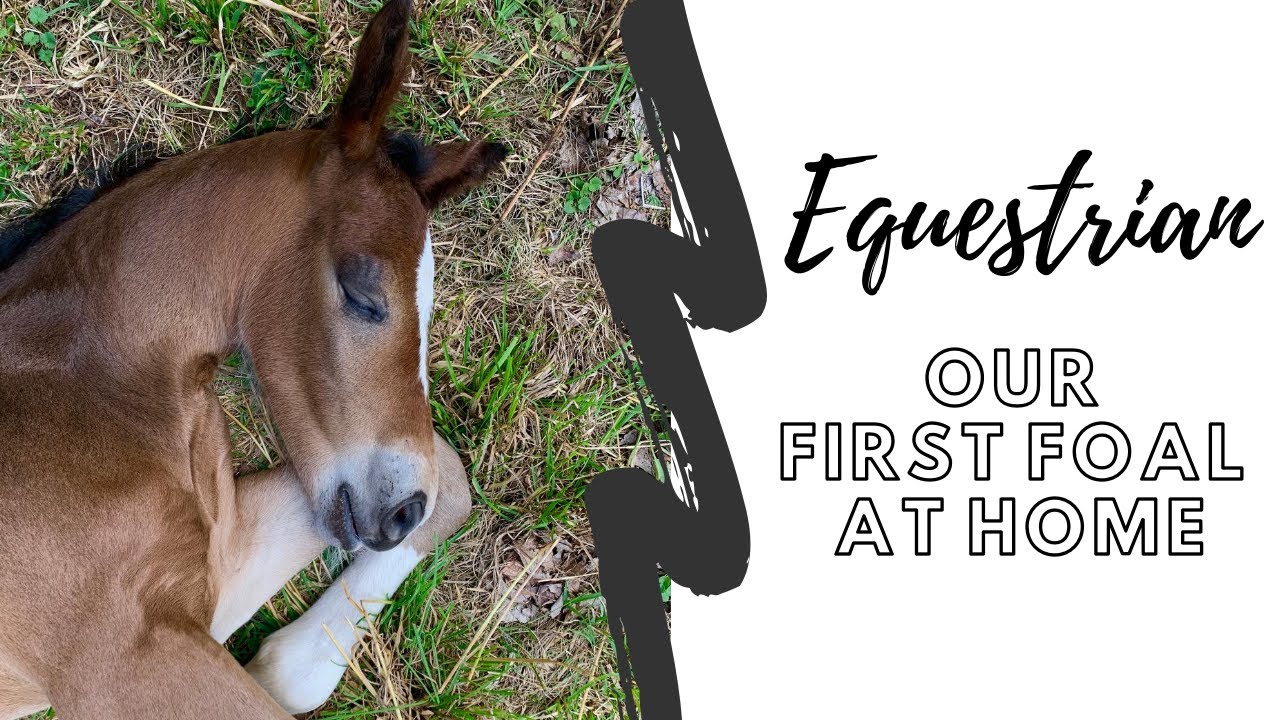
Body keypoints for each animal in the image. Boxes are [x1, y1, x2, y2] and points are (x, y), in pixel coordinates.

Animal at [0, 0, 505, 716]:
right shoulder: (120, 655)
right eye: (362, 292)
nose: (405, 508)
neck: (90, 380)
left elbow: (452, 470)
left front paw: (291, 665)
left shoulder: (211, 572)